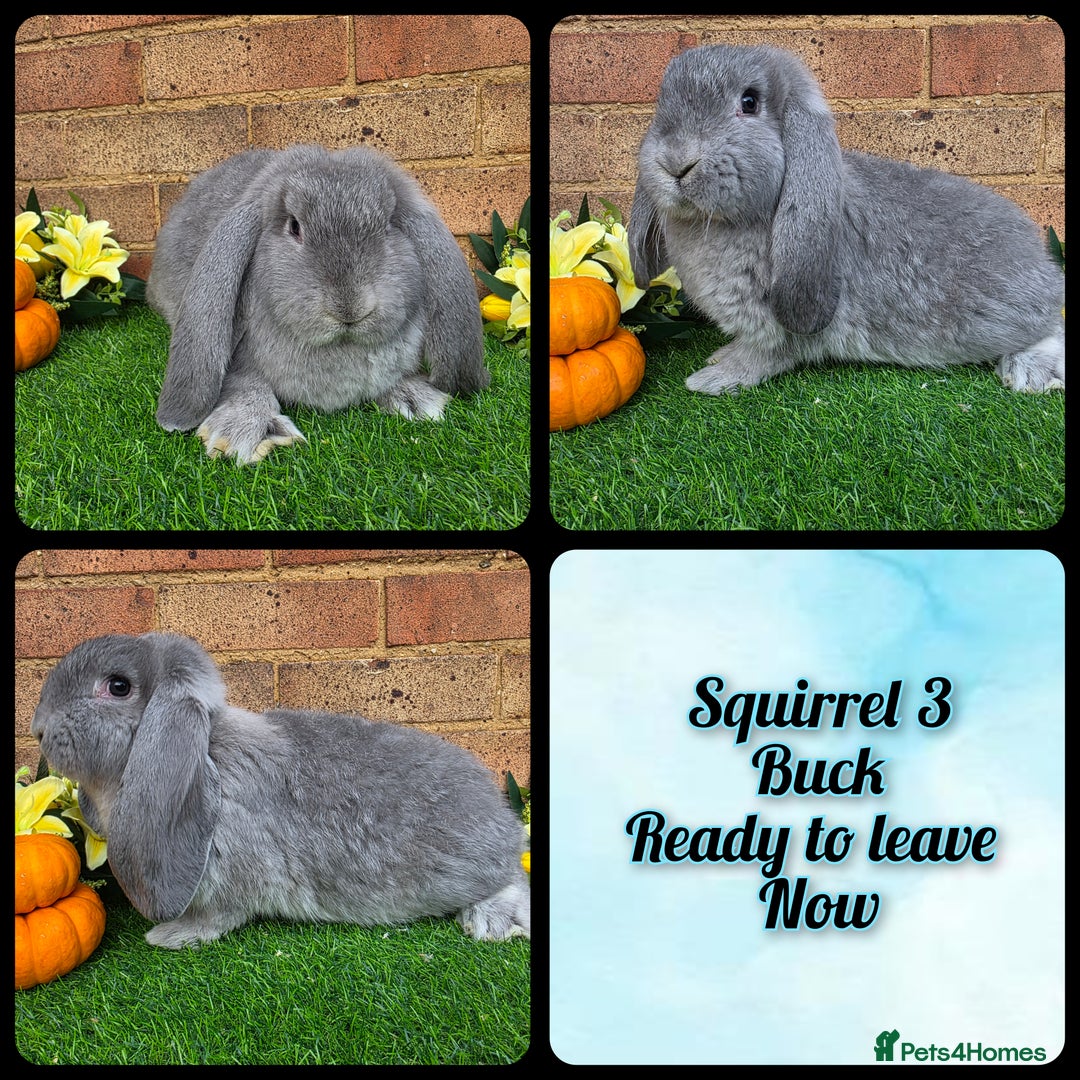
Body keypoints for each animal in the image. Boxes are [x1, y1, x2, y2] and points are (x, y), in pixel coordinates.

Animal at [30, 632, 530, 949]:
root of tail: (505, 821)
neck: (207, 753)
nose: (37, 729)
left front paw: (170, 937)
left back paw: (491, 924)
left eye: (118, 686)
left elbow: (220, 915)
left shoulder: (233, 871)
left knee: (511, 878)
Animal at [147, 145, 490, 463]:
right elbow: (245, 386)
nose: (350, 307)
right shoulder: (240, 364)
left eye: (388, 226)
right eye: (294, 227)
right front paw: (243, 433)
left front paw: (415, 398)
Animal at [628, 44, 1065, 395]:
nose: (675, 163)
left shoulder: (781, 327)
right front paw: (719, 357)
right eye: (662, 101)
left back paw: (1029, 375)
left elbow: (764, 355)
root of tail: (1041, 261)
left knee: (1051, 324)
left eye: (749, 102)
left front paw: (711, 380)